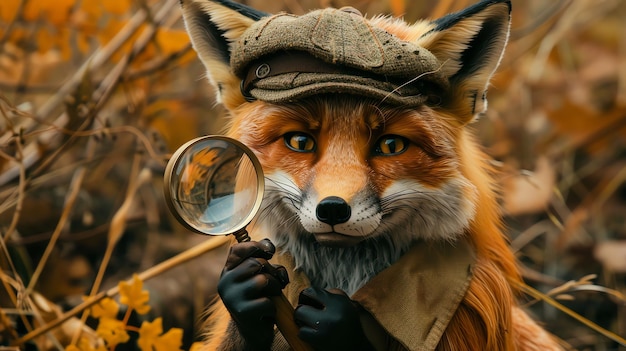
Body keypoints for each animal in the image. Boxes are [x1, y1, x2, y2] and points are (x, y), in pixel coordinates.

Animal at [178, 0, 564, 351]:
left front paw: (338, 326)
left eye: (391, 145)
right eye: (300, 141)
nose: (332, 209)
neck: (345, 276)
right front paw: (243, 291)